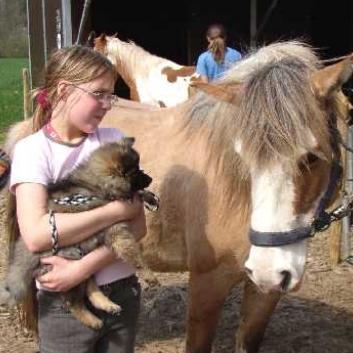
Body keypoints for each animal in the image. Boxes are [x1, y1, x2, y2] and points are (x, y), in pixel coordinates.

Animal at [0, 136, 158, 328]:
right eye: (136, 172)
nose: (150, 178)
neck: (95, 185)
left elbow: (137, 194)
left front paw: (150, 197)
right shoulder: (116, 229)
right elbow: (134, 254)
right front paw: (149, 274)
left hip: (81, 262)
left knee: (89, 287)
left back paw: (107, 305)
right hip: (70, 265)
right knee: (74, 302)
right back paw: (93, 320)